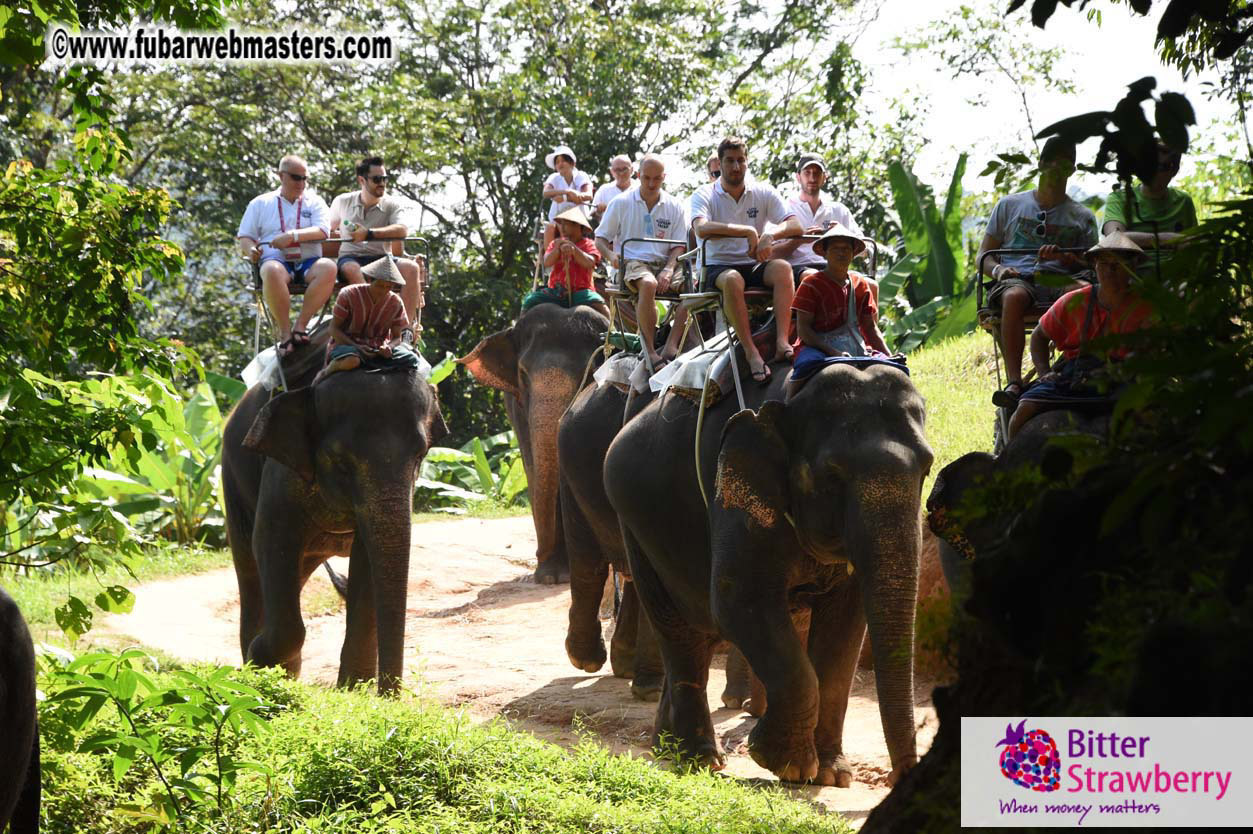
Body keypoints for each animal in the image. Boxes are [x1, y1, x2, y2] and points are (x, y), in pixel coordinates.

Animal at [221, 334, 448, 694]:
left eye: (421, 456)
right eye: (340, 461)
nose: (391, 696)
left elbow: (367, 561)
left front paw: (353, 690)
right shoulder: (281, 473)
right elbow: (270, 543)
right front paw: (261, 660)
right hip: (232, 478)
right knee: (250, 568)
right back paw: (257, 664)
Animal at [459, 304, 608, 584]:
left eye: (589, 372)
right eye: (523, 374)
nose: (539, 554)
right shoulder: (518, 410)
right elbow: (533, 468)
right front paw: (551, 576)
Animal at [604, 357, 932, 787]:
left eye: (927, 469)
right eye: (833, 475)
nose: (898, 778)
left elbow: (846, 623)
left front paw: (831, 775)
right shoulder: (738, 489)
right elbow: (739, 599)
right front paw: (786, 763)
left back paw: (666, 746)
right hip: (636, 525)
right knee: (681, 633)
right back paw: (699, 759)